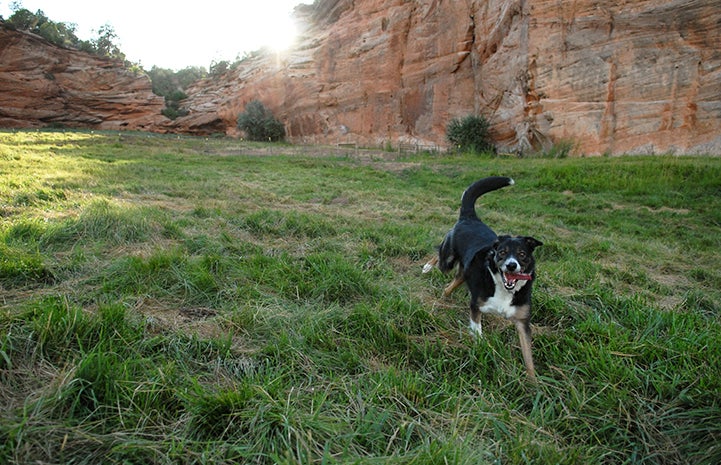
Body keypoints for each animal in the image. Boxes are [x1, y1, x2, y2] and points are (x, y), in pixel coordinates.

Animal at [422, 176, 540, 378]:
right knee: (439, 252)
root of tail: (470, 218)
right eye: (502, 252)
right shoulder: (476, 306)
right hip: (448, 260)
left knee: (448, 287)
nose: (511, 265)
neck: (502, 288)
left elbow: (529, 358)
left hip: (463, 274)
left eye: (522, 254)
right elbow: (478, 332)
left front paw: (533, 382)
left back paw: (444, 295)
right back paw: (427, 266)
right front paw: (481, 349)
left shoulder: (523, 322)